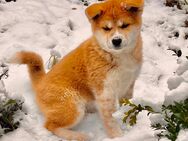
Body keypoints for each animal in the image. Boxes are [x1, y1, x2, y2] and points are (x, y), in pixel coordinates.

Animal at [11, 0, 144, 140]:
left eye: (125, 25)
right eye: (106, 28)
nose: (116, 41)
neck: (118, 56)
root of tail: (41, 82)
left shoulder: (129, 83)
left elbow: (127, 105)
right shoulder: (105, 92)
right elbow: (110, 120)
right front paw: (118, 136)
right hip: (73, 106)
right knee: (50, 125)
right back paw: (78, 135)